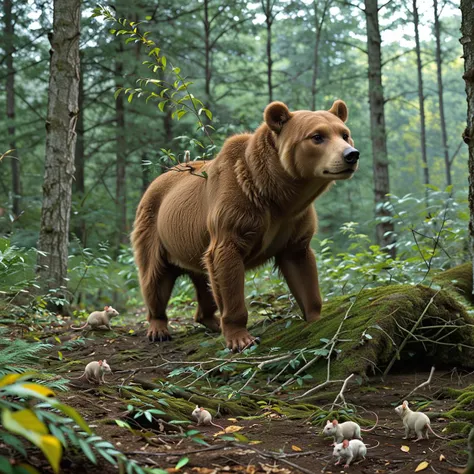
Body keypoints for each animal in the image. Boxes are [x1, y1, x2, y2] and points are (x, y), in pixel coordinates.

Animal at [131, 100, 358, 352]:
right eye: (317, 136)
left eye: (344, 134)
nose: (351, 155)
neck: (277, 192)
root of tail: (155, 181)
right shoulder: (235, 211)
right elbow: (227, 268)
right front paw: (241, 337)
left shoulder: (294, 222)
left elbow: (301, 266)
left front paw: (316, 317)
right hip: (154, 228)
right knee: (155, 278)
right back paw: (158, 328)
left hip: (191, 244)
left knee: (205, 282)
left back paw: (211, 321)